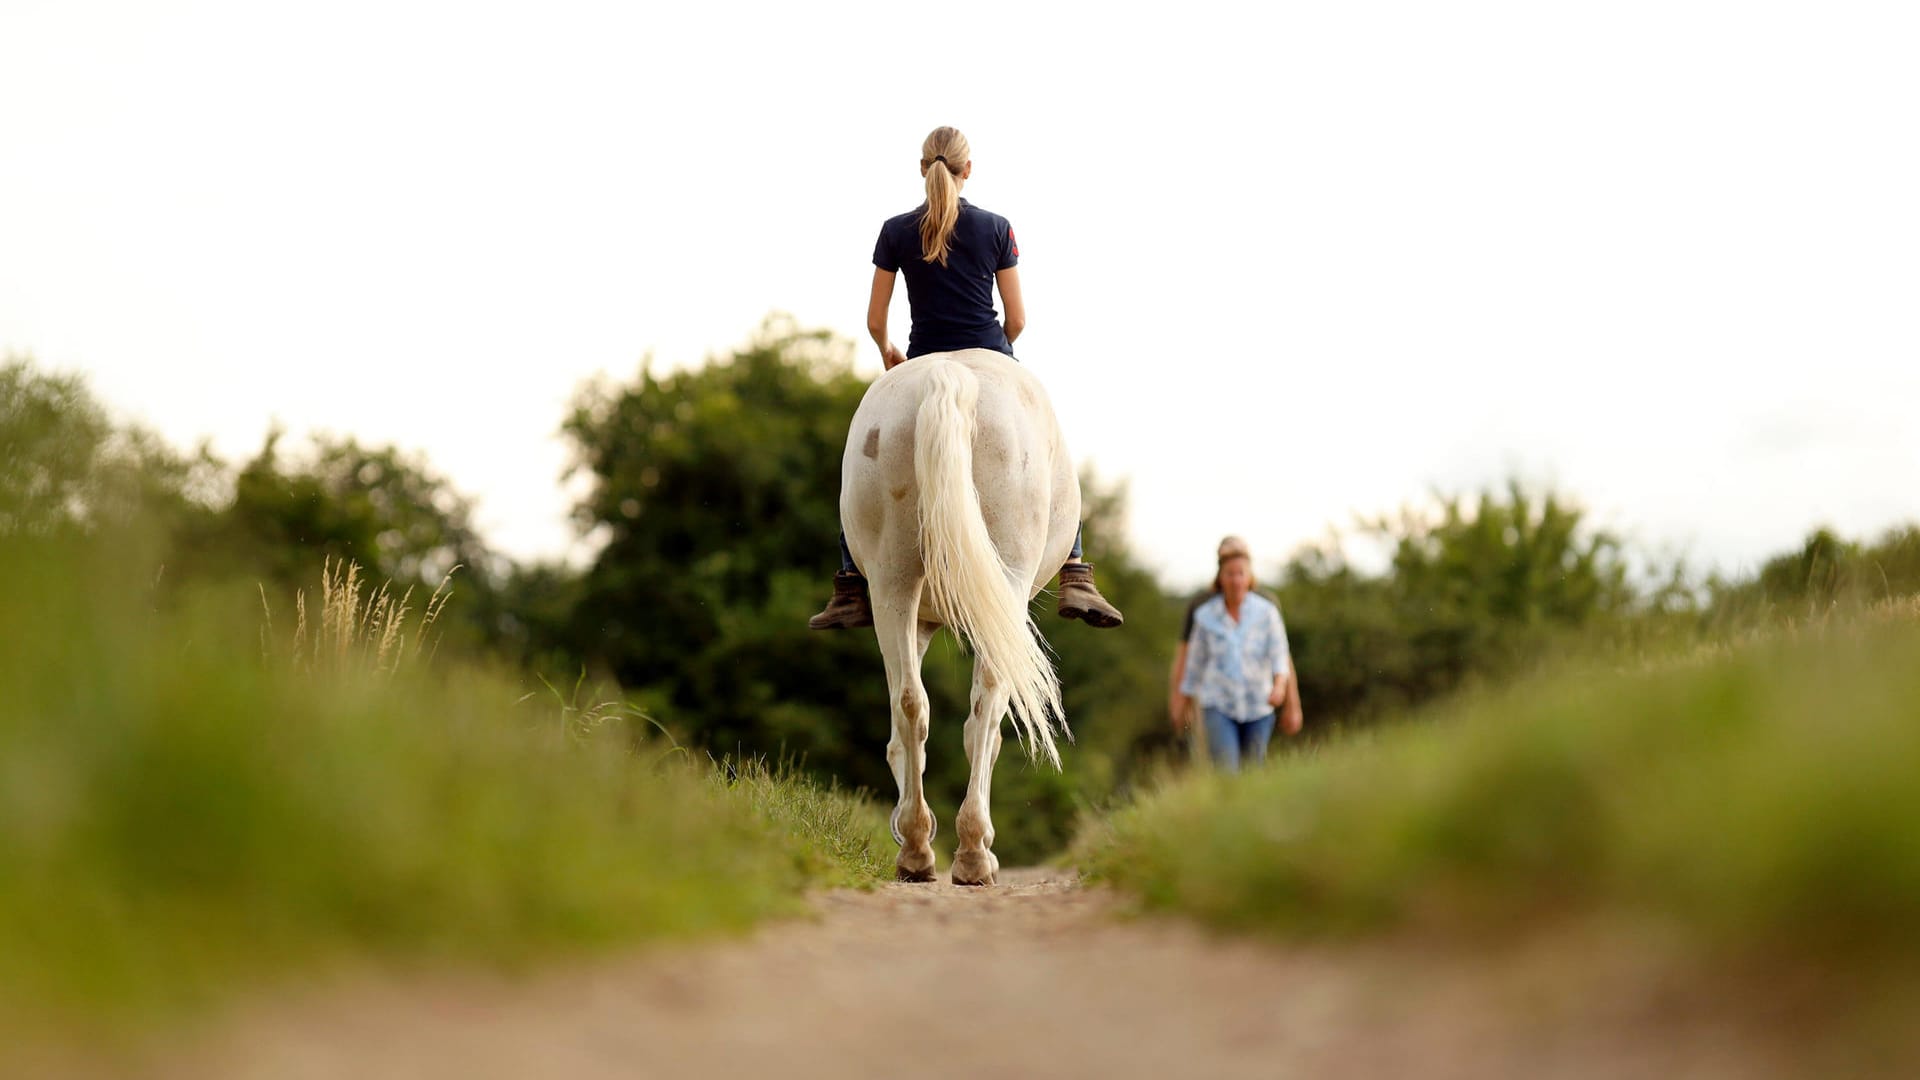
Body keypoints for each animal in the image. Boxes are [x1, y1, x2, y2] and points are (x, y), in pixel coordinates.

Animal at [840, 345, 1082, 883]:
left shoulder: (921, 622)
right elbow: (981, 736)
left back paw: (916, 851)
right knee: (987, 706)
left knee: (911, 702)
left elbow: (909, 727)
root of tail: (950, 376)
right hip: (1006, 583)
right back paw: (972, 854)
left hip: (893, 584)